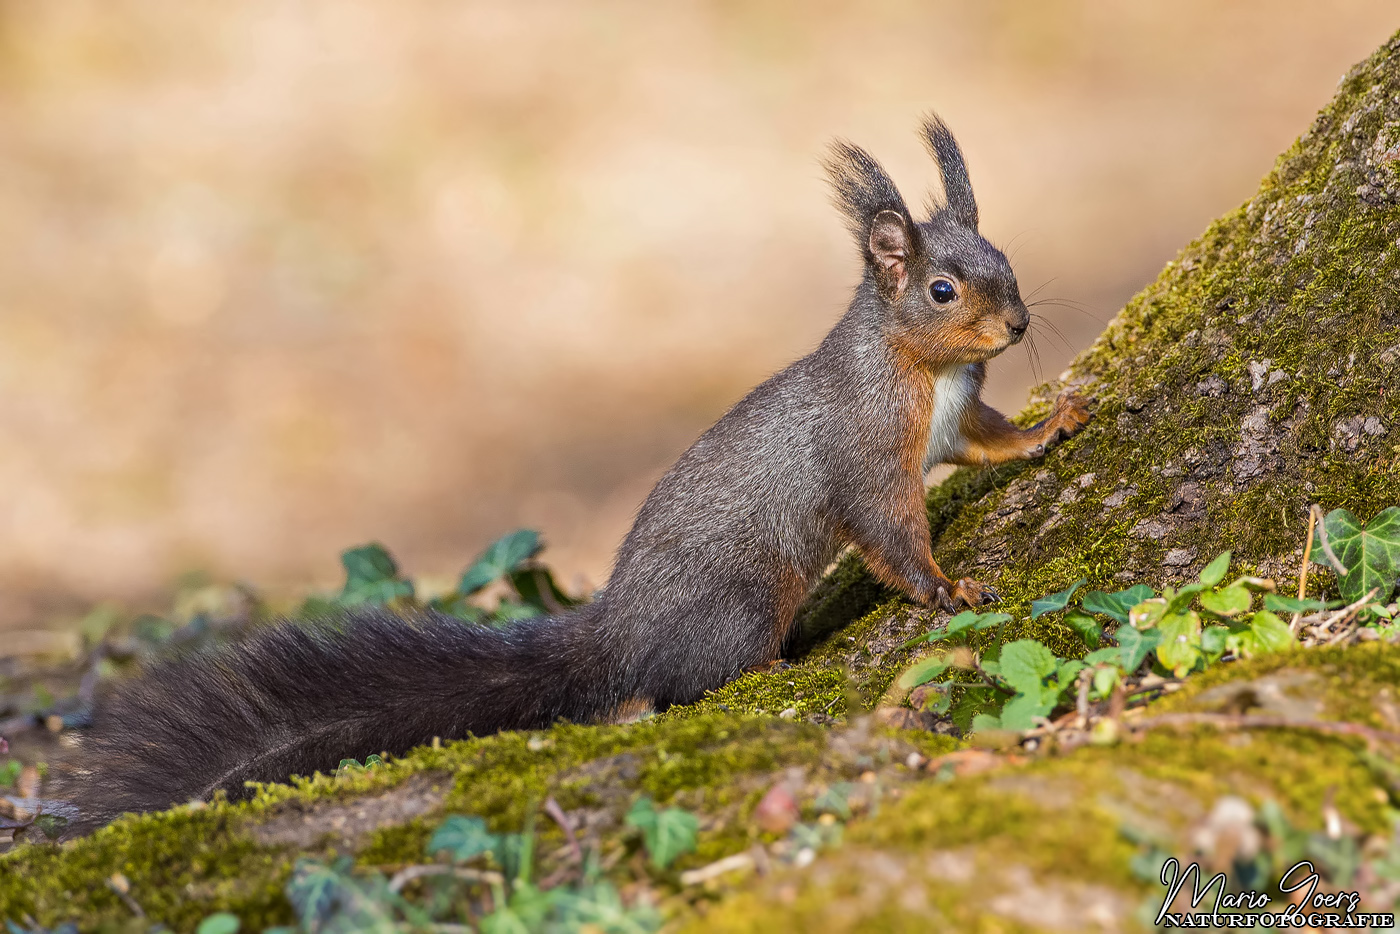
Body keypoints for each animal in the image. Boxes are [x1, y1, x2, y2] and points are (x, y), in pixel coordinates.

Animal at [63, 116, 1092, 834]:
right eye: (942, 290)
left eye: (1004, 260)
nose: (1017, 327)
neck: (925, 370)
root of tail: (614, 636)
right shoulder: (867, 455)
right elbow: (890, 534)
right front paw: (951, 588)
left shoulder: (954, 423)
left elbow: (989, 441)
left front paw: (1051, 426)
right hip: (740, 604)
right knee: (682, 681)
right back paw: (725, 676)